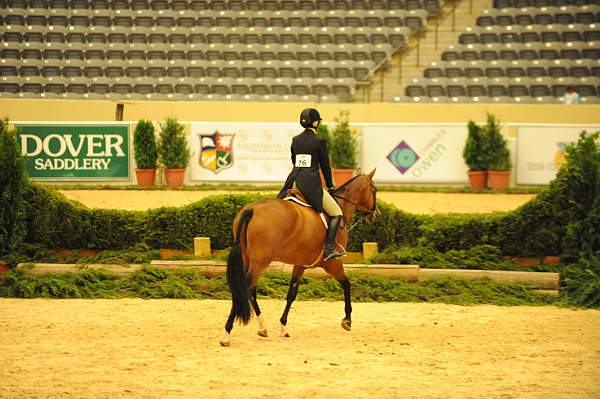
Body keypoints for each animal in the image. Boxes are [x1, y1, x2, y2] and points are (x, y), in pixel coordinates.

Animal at [220, 169, 380, 346]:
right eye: (374, 190)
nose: (377, 215)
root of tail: (252, 210)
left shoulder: (301, 264)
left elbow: (291, 294)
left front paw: (283, 326)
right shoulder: (332, 263)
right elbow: (346, 284)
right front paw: (347, 320)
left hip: (249, 260)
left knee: (250, 289)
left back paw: (262, 327)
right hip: (260, 262)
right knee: (244, 288)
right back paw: (227, 334)